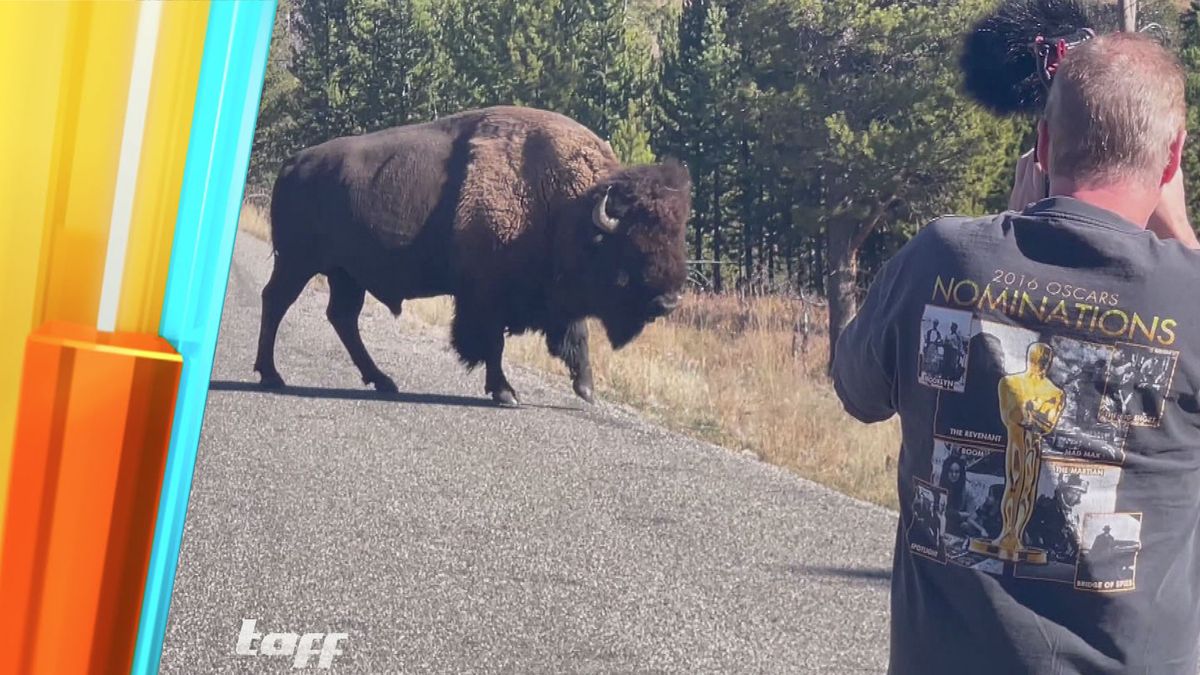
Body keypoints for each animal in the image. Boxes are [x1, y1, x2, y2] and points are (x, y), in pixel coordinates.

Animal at [258, 105, 700, 403]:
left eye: (677, 235)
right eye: (634, 243)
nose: (669, 300)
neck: (564, 205)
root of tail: (293, 162)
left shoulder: (557, 299)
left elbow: (576, 337)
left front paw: (586, 389)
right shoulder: (486, 296)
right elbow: (492, 343)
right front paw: (505, 392)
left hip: (345, 274)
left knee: (342, 318)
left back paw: (383, 381)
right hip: (297, 262)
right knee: (276, 301)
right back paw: (271, 375)